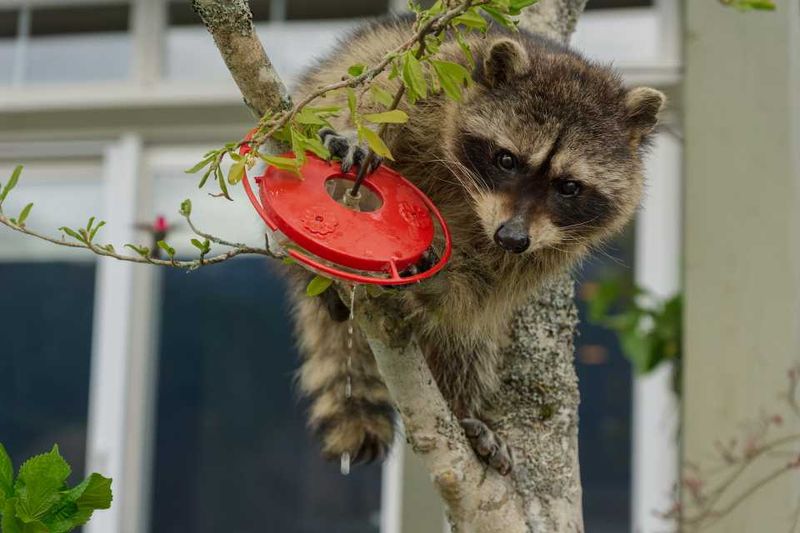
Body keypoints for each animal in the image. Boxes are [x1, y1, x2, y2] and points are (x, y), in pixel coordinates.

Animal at [285, 17, 665, 473]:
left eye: (569, 186)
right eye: (506, 160)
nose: (511, 238)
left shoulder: (550, 247)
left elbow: (479, 294)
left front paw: (439, 282)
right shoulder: (438, 75)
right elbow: (377, 97)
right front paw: (360, 136)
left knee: (469, 341)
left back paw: (463, 406)